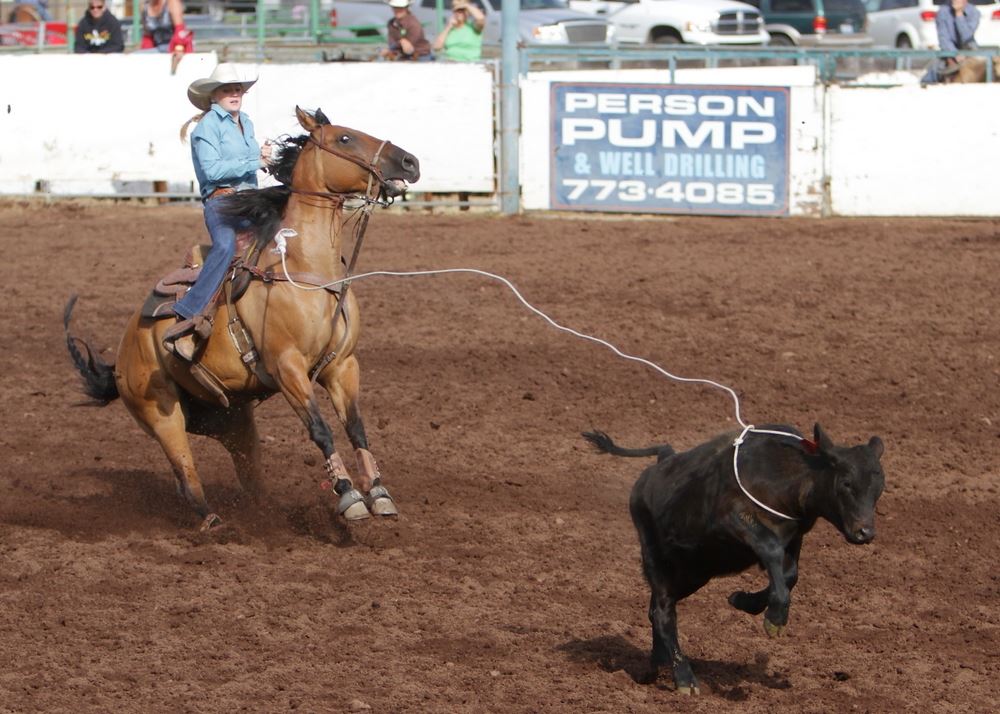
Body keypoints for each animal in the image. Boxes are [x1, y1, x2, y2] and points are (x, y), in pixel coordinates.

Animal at [583, 423, 885, 695]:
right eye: (846, 482)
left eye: (879, 487)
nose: (865, 532)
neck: (784, 477)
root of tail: (661, 463)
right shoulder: (733, 519)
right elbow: (771, 551)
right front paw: (775, 618)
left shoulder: (794, 536)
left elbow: (790, 575)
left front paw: (744, 600)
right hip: (656, 558)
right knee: (663, 612)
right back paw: (684, 679)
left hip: (694, 571)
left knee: (655, 610)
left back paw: (656, 664)